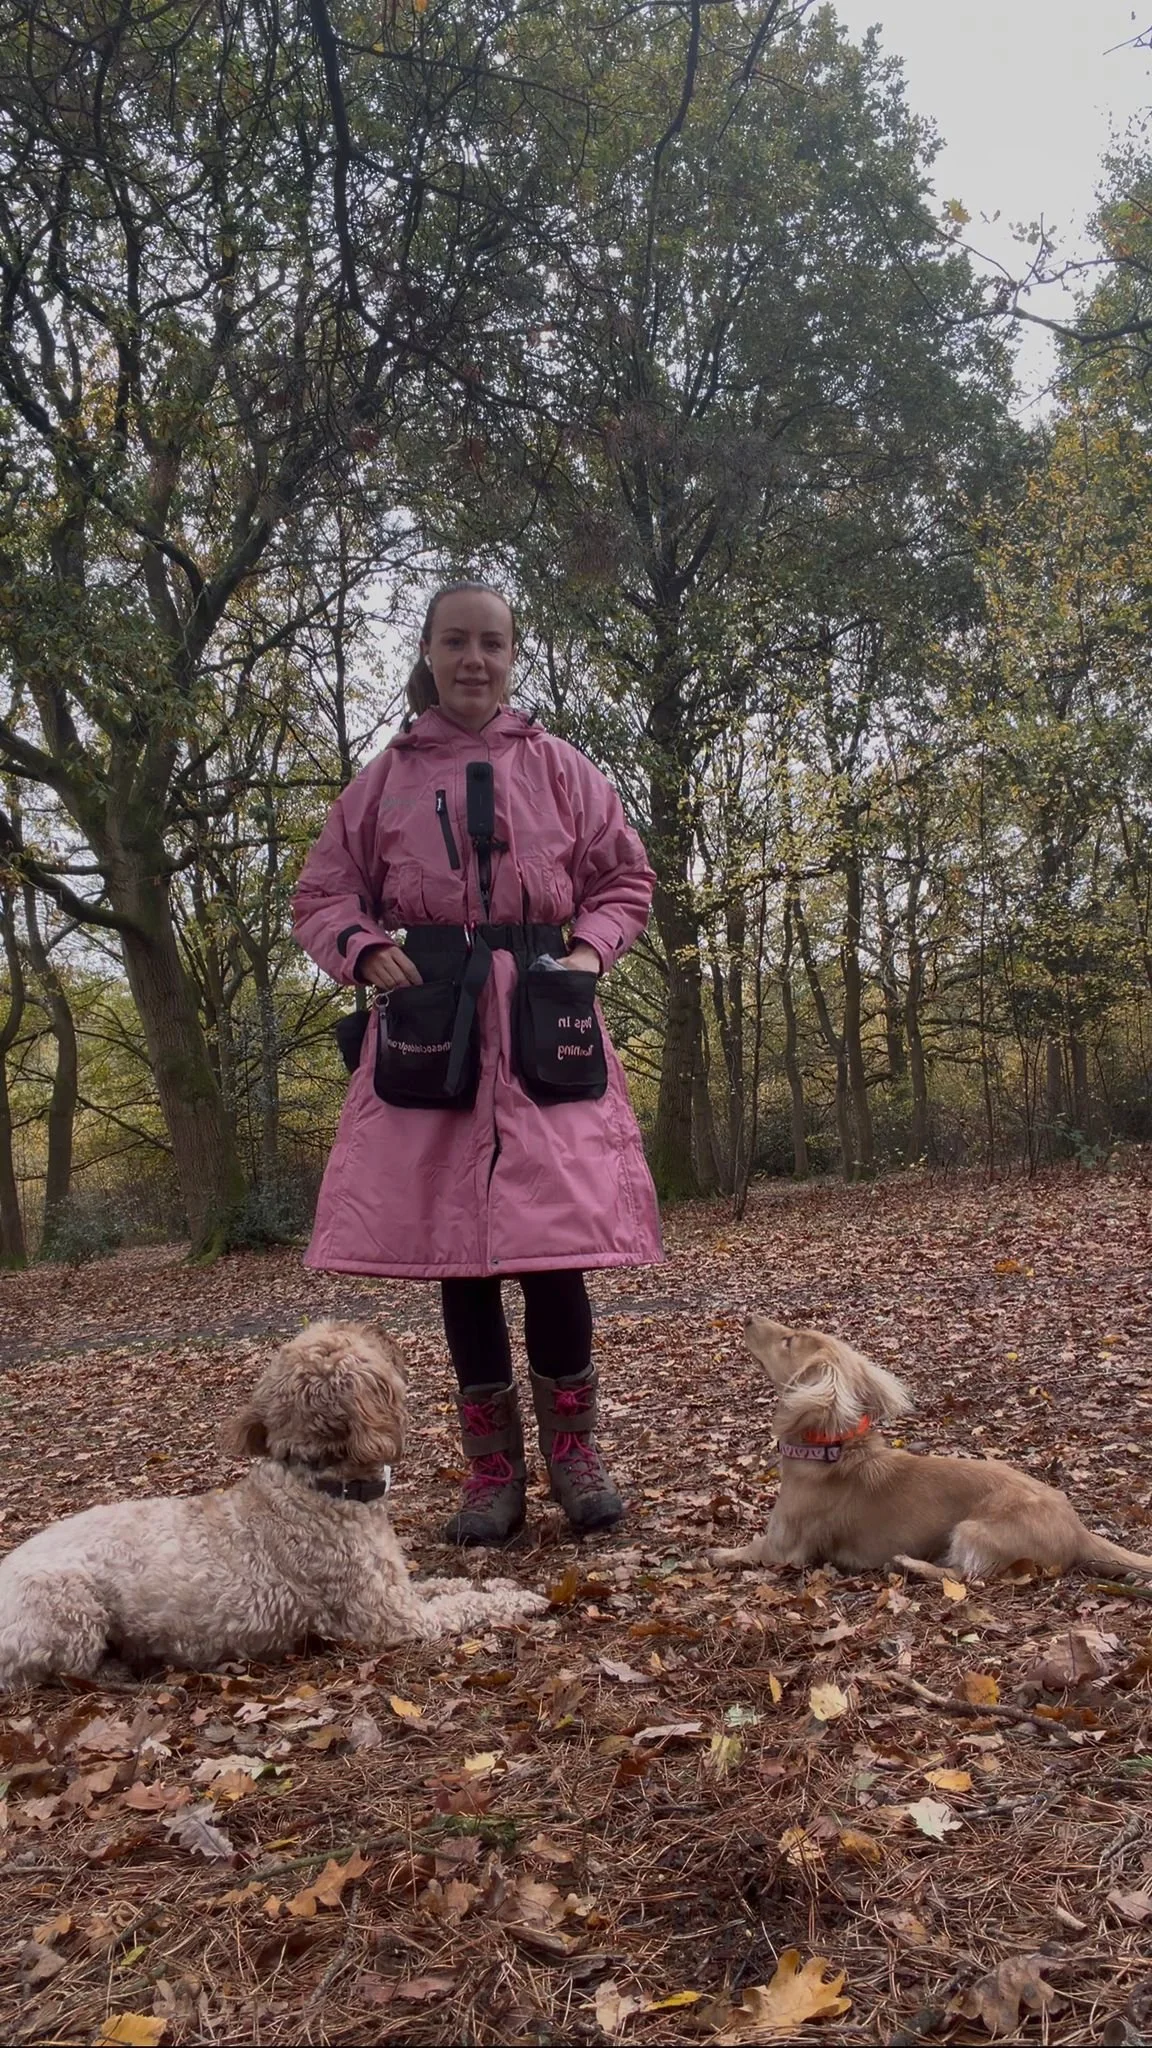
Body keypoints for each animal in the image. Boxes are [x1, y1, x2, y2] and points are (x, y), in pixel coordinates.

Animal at [0, 1321, 547, 1688]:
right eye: (352, 1338)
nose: (380, 1328)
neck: (316, 1485)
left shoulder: (399, 1588)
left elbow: (448, 1584)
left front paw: (498, 1582)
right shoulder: (390, 1617)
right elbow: (463, 1604)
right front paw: (520, 1598)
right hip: (70, 1609)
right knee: (60, 1669)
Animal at [710, 1316, 1152, 1580]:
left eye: (788, 1341)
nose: (748, 1318)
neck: (830, 1451)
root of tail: (1077, 1530)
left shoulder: (785, 1547)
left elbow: (748, 1548)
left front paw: (717, 1553)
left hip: (974, 1532)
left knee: (966, 1577)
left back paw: (912, 1564)